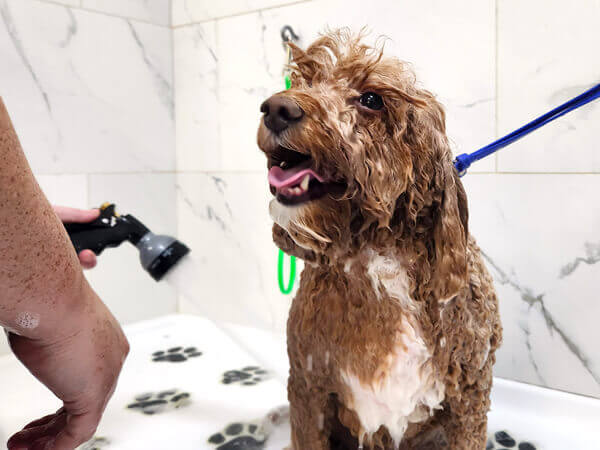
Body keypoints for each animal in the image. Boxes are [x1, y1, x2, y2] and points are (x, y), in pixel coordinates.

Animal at [255, 31, 500, 450]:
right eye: (305, 80)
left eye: (371, 99)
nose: (277, 108)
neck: (376, 259)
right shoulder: (308, 387)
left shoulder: (469, 396)